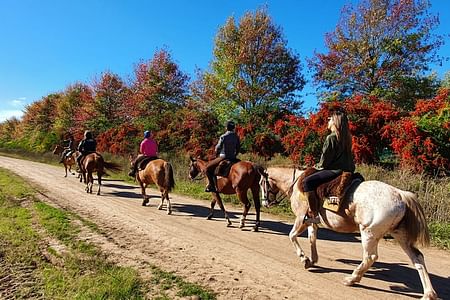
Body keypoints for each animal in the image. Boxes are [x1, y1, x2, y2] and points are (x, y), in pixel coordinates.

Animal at [258, 166, 438, 300]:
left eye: (261, 183)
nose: (265, 203)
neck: (297, 183)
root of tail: (401, 195)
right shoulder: (311, 220)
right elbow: (312, 238)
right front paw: (313, 259)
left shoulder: (301, 218)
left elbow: (292, 236)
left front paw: (305, 259)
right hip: (400, 236)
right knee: (417, 258)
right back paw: (428, 293)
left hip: (368, 233)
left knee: (370, 257)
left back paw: (352, 278)